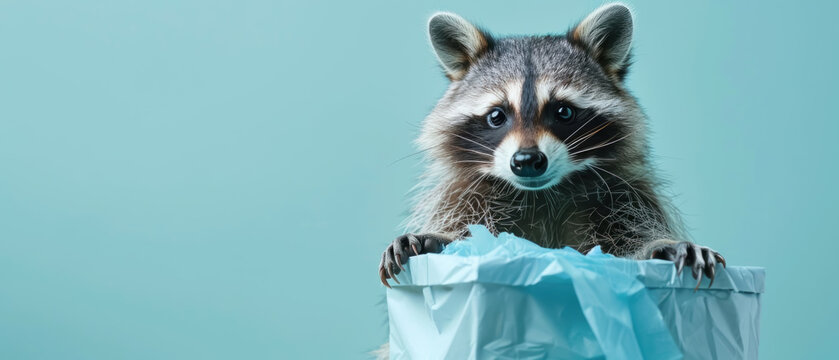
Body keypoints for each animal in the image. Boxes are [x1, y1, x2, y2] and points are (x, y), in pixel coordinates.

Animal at [378, 3, 724, 292]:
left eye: (564, 112)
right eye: (496, 116)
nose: (527, 160)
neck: (543, 194)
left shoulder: (627, 195)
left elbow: (628, 242)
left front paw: (660, 246)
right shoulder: (465, 196)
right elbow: (465, 229)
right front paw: (436, 238)